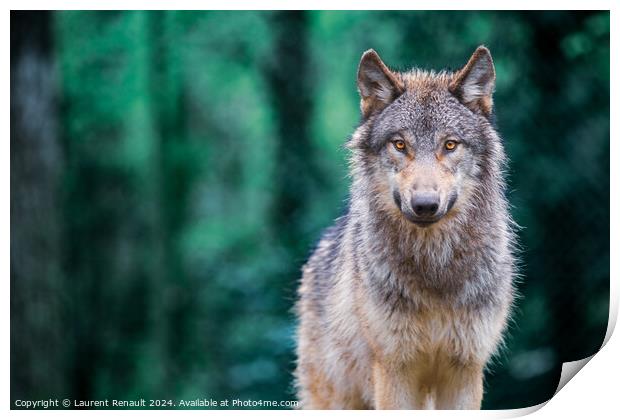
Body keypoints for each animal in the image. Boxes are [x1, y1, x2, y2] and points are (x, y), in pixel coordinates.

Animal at [294, 46, 516, 410]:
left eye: (450, 145)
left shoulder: (465, 369)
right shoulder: (394, 368)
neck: (434, 268)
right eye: (400, 145)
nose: (425, 204)